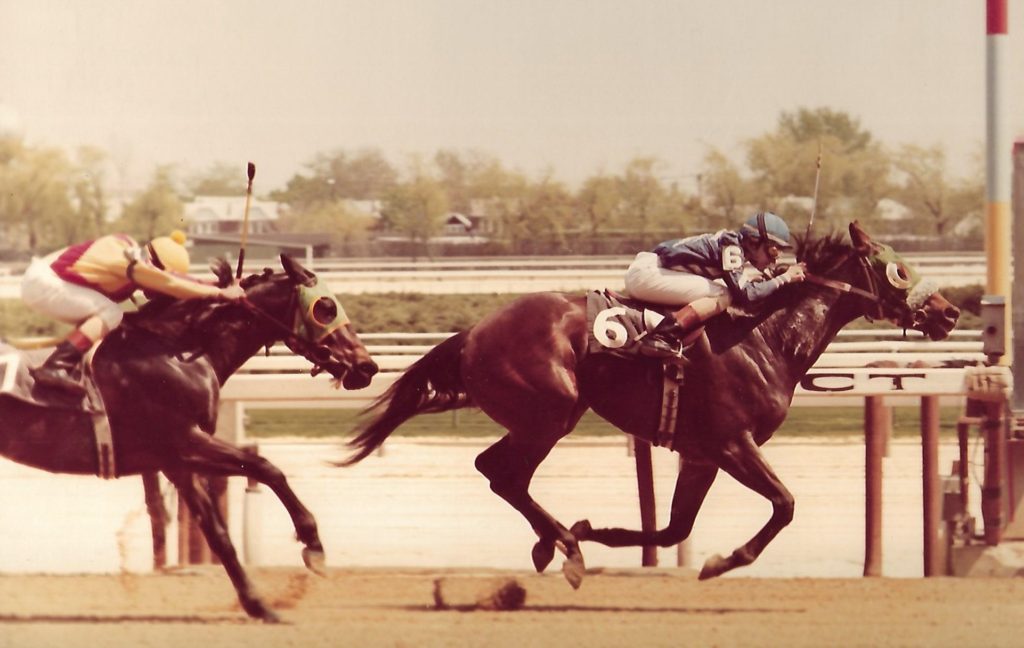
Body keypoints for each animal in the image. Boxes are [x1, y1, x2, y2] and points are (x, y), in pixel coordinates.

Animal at [1, 253, 376, 622]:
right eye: (326, 307)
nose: (366, 366)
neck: (177, 351)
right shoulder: (184, 442)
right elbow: (266, 468)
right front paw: (313, 545)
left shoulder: (178, 463)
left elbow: (218, 533)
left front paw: (258, 604)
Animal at [344, 222, 958, 585]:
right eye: (899, 268)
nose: (951, 313)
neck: (765, 336)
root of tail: (473, 331)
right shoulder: (732, 443)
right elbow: (783, 505)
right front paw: (720, 563)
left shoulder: (702, 454)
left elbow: (671, 529)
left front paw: (602, 532)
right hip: (551, 412)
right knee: (502, 472)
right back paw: (564, 546)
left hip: (544, 415)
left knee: (499, 472)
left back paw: (559, 541)